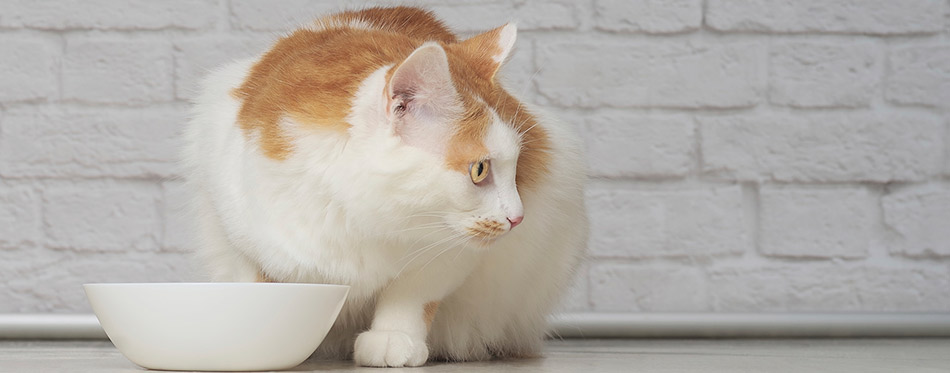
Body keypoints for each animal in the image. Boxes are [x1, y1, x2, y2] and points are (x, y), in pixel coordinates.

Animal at [181, 5, 588, 366]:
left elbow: (413, 294)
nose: (518, 218)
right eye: (479, 170)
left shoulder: (449, 253)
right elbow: (257, 285)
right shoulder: (237, 228)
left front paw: (394, 338)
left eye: (517, 166)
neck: (357, 217)